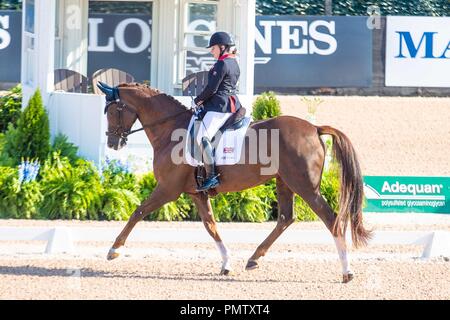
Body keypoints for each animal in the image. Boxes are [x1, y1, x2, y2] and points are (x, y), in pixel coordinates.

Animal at [100, 82, 370, 282]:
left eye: (113, 111)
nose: (113, 143)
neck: (170, 130)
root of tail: (314, 128)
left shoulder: (168, 189)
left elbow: (137, 212)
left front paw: (114, 249)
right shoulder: (196, 193)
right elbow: (211, 226)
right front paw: (226, 263)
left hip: (305, 186)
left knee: (331, 220)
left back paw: (347, 272)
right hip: (284, 182)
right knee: (285, 218)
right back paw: (254, 258)